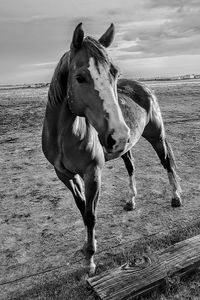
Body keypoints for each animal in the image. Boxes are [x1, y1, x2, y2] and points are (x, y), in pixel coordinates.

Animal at [41, 22, 181, 276]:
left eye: (114, 72)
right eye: (80, 77)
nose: (118, 134)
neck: (63, 136)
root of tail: (143, 87)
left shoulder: (92, 173)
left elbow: (91, 215)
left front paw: (90, 260)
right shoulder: (66, 176)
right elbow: (82, 209)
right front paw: (88, 246)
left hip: (155, 136)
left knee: (166, 162)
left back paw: (176, 197)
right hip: (125, 149)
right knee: (132, 168)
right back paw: (131, 201)